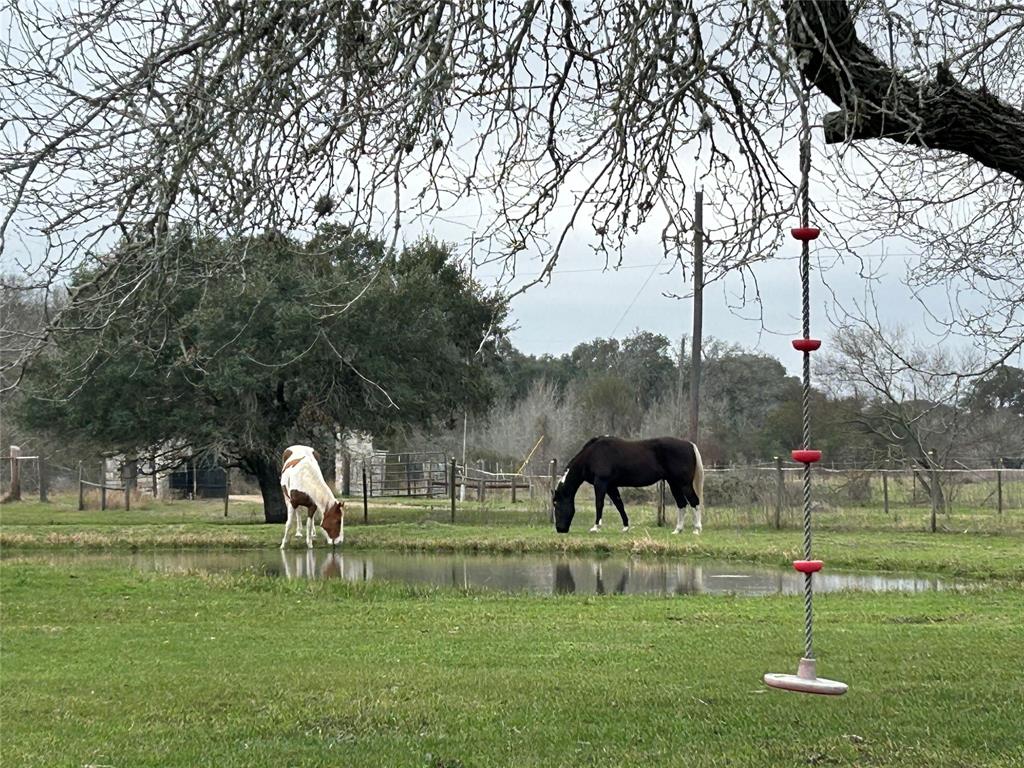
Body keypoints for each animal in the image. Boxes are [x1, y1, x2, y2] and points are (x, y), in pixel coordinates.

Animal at [552, 436, 704, 536]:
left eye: (557, 505)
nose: (560, 529)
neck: (592, 454)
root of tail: (690, 444)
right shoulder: (611, 486)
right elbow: (619, 505)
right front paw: (625, 527)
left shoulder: (601, 483)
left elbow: (599, 504)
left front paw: (596, 527)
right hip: (674, 484)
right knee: (682, 504)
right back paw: (678, 530)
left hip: (684, 484)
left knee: (694, 502)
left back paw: (696, 529)